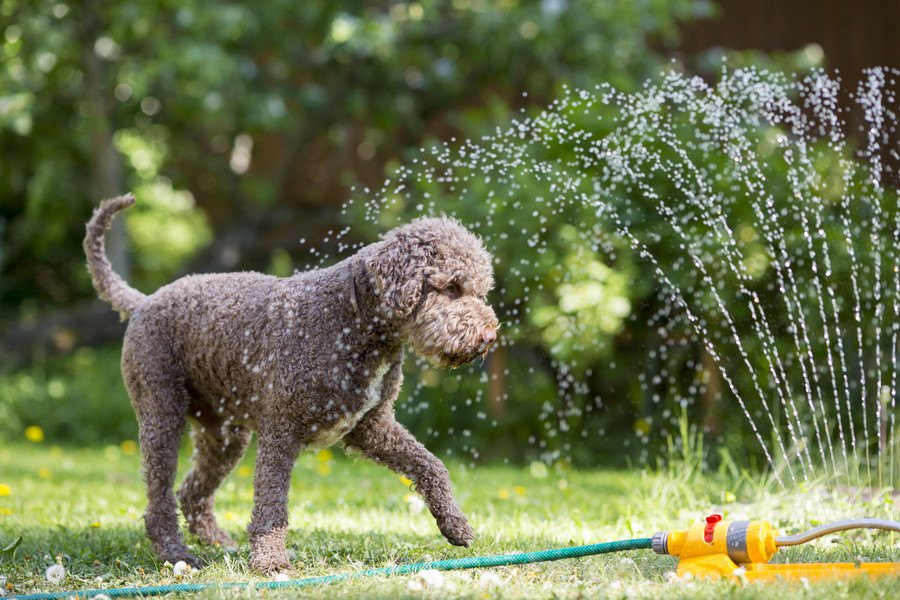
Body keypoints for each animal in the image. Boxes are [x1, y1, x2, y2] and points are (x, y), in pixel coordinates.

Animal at [83, 195, 500, 576]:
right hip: (162, 417)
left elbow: (431, 465)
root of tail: (144, 302)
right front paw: (270, 561)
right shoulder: (280, 433)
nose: (489, 336)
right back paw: (176, 553)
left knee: (191, 492)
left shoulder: (371, 427)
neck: (349, 321)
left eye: (480, 291)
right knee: (160, 499)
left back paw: (216, 541)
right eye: (451, 287)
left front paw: (455, 524)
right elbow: (271, 506)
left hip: (225, 436)